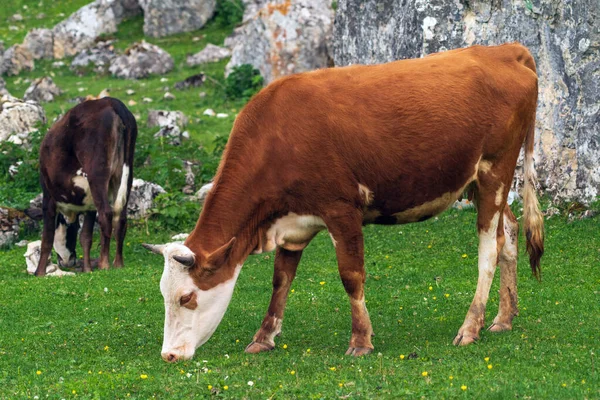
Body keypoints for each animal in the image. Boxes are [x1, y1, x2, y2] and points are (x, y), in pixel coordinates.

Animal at [35, 98, 138, 276]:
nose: (67, 261)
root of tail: (113, 102)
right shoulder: (89, 205)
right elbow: (86, 237)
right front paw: (88, 269)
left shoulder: (48, 197)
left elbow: (47, 237)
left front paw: (39, 273)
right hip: (126, 172)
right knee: (121, 217)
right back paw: (118, 263)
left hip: (97, 174)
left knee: (106, 214)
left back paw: (104, 263)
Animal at [144, 43, 544, 362]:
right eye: (162, 295)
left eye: (186, 298)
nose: (168, 355)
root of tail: (505, 50)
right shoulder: (293, 224)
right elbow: (280, 280)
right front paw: (263, 337)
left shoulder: (342, 211)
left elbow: (351, 277)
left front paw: (361, 340)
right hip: (478, 182)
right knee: (509, 233)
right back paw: (503, 318)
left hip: (495, 170)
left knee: (490, 247)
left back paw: (471, 326)